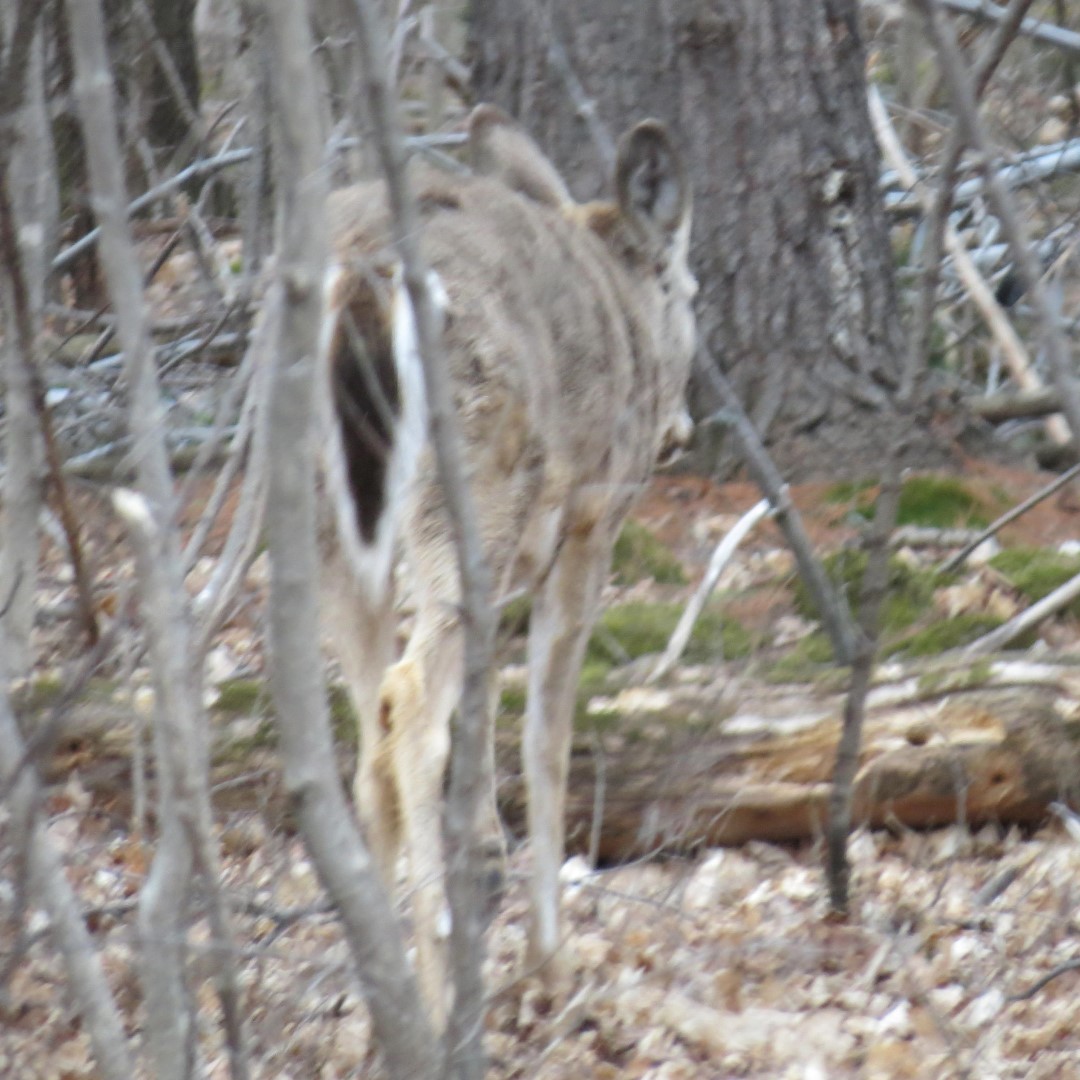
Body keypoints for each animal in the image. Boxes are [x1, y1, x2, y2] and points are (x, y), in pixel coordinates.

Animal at [316, 103, 696, 1025]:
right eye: (690, 290)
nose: (682, 428)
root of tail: (363, 283)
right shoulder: (592, 520)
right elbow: (545, 736)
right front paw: (550, 964)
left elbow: (482, 734)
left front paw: (488, 888)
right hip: (469, 491)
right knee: (411, 706)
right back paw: (427, 996)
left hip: (326, 517)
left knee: (371, 726)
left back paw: (380, 998)